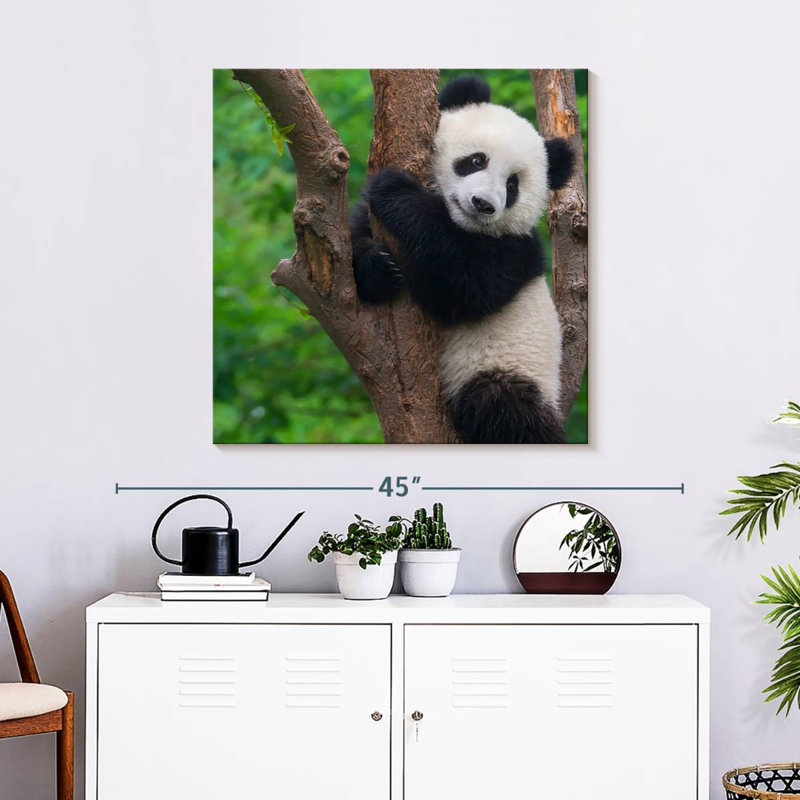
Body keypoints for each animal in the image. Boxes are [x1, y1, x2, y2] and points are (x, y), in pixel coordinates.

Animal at [350, 75, 575, 444]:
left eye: (512, 185)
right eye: (476, 161)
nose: (483, 204)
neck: (462, 225)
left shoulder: (515, 252)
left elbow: (461, 289)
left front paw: (395, 190)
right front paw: (376, 266)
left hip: (508, 367)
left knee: (504, 409)